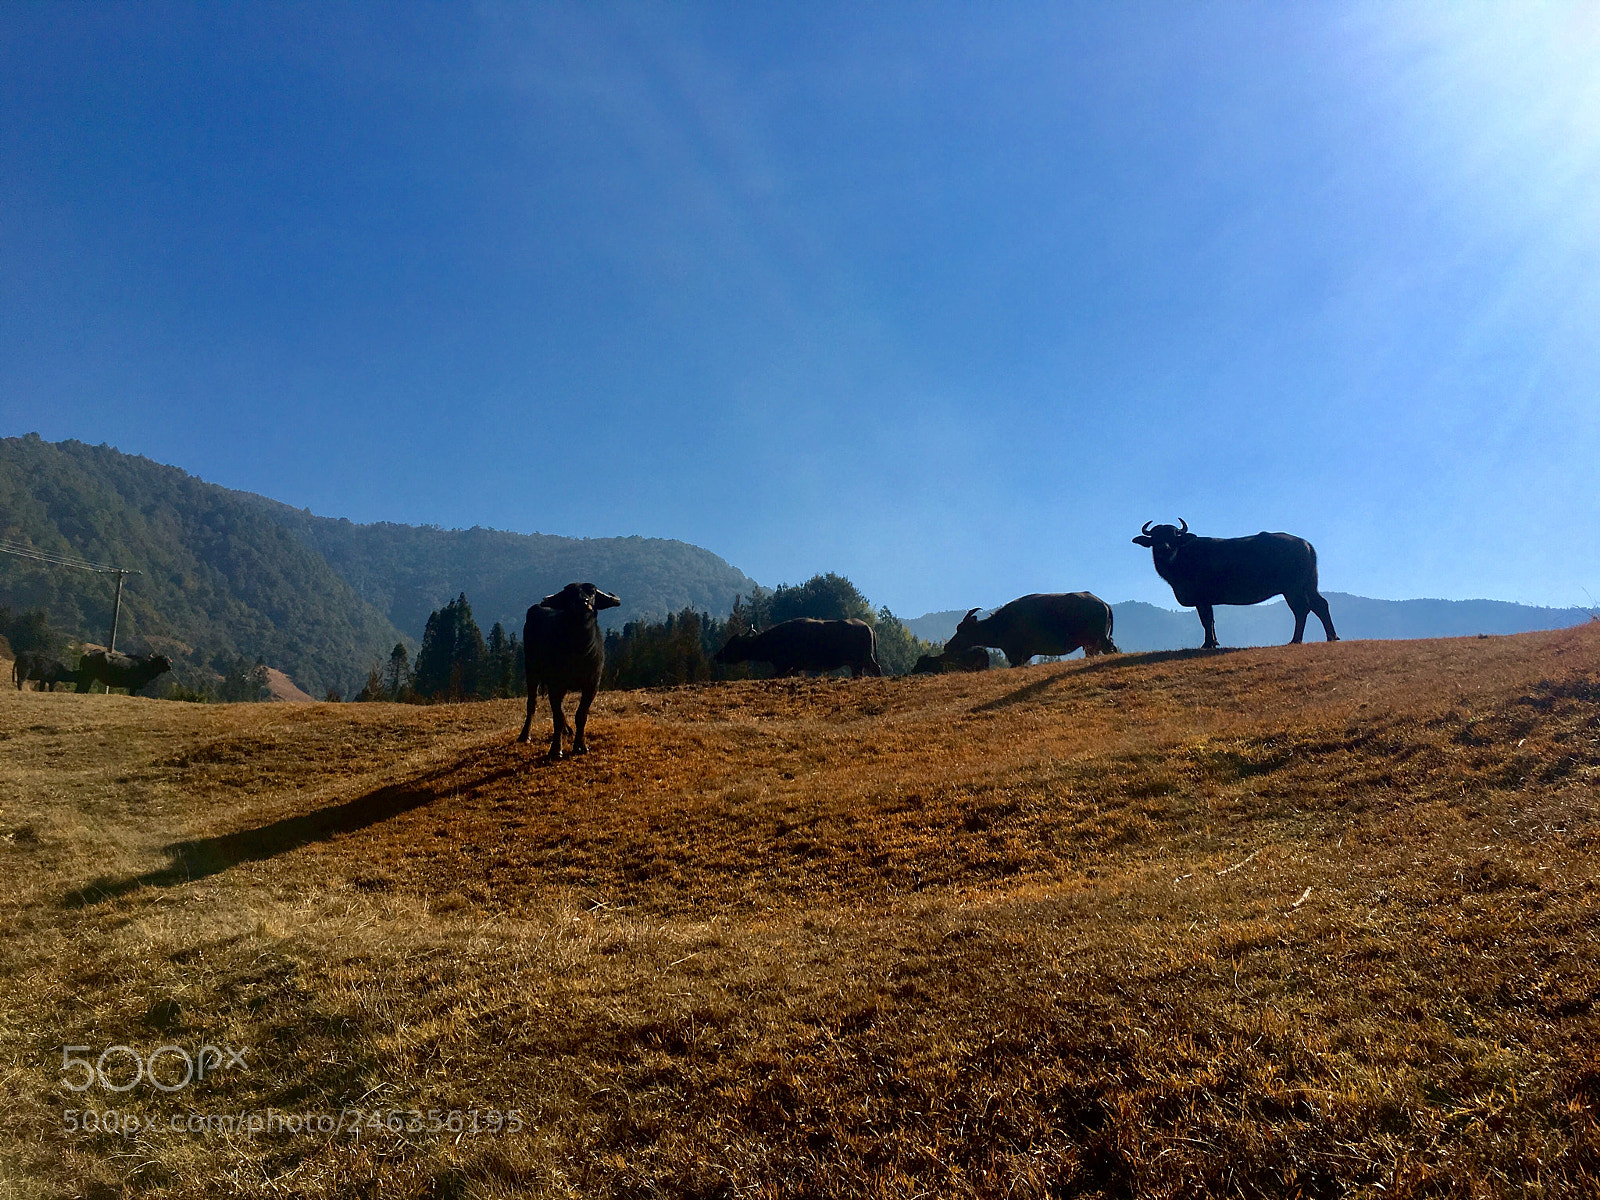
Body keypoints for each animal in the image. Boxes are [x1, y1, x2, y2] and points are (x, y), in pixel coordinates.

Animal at [517, 582, 621, 761]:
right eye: (570, 594)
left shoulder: (592, 685)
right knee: (532, 703)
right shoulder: (555, 684)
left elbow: (581, 715)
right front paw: (555, 750)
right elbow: (556, 717)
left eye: (592, 592)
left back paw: (568, 730)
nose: (583, 602)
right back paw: (525, 735)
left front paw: (580, 746)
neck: (579, 651)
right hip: (531, 671)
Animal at [714, 618, 882, 678]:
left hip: (864, 659)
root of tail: (869, 627)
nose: (718, 656)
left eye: (733, 644)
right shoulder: (794, 668)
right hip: (856, 664)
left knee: (876, 668)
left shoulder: (783, 666)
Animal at [944, 592, 1118, 667]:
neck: (1002, 623)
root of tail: (1104, 604)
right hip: (1090, 645)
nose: (947, 646)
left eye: (962, 629)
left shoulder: (1019, 654)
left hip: (1099, 640)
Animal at [1132, 519, 1338, 650]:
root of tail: (1306, 544)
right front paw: (1214, 642)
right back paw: (1331, 637)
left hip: (1293, 588)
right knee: (1320, 605)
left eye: (1174, 536)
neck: (1181, 557)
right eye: (1156, 537)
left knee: (1302, 609)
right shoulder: (1206, 601)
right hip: (1309, 585)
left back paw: (1296, 640)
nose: (1164, 548)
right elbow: (1211, 620)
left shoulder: (1202, 599)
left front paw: (1208, 644)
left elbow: (1206, 620)